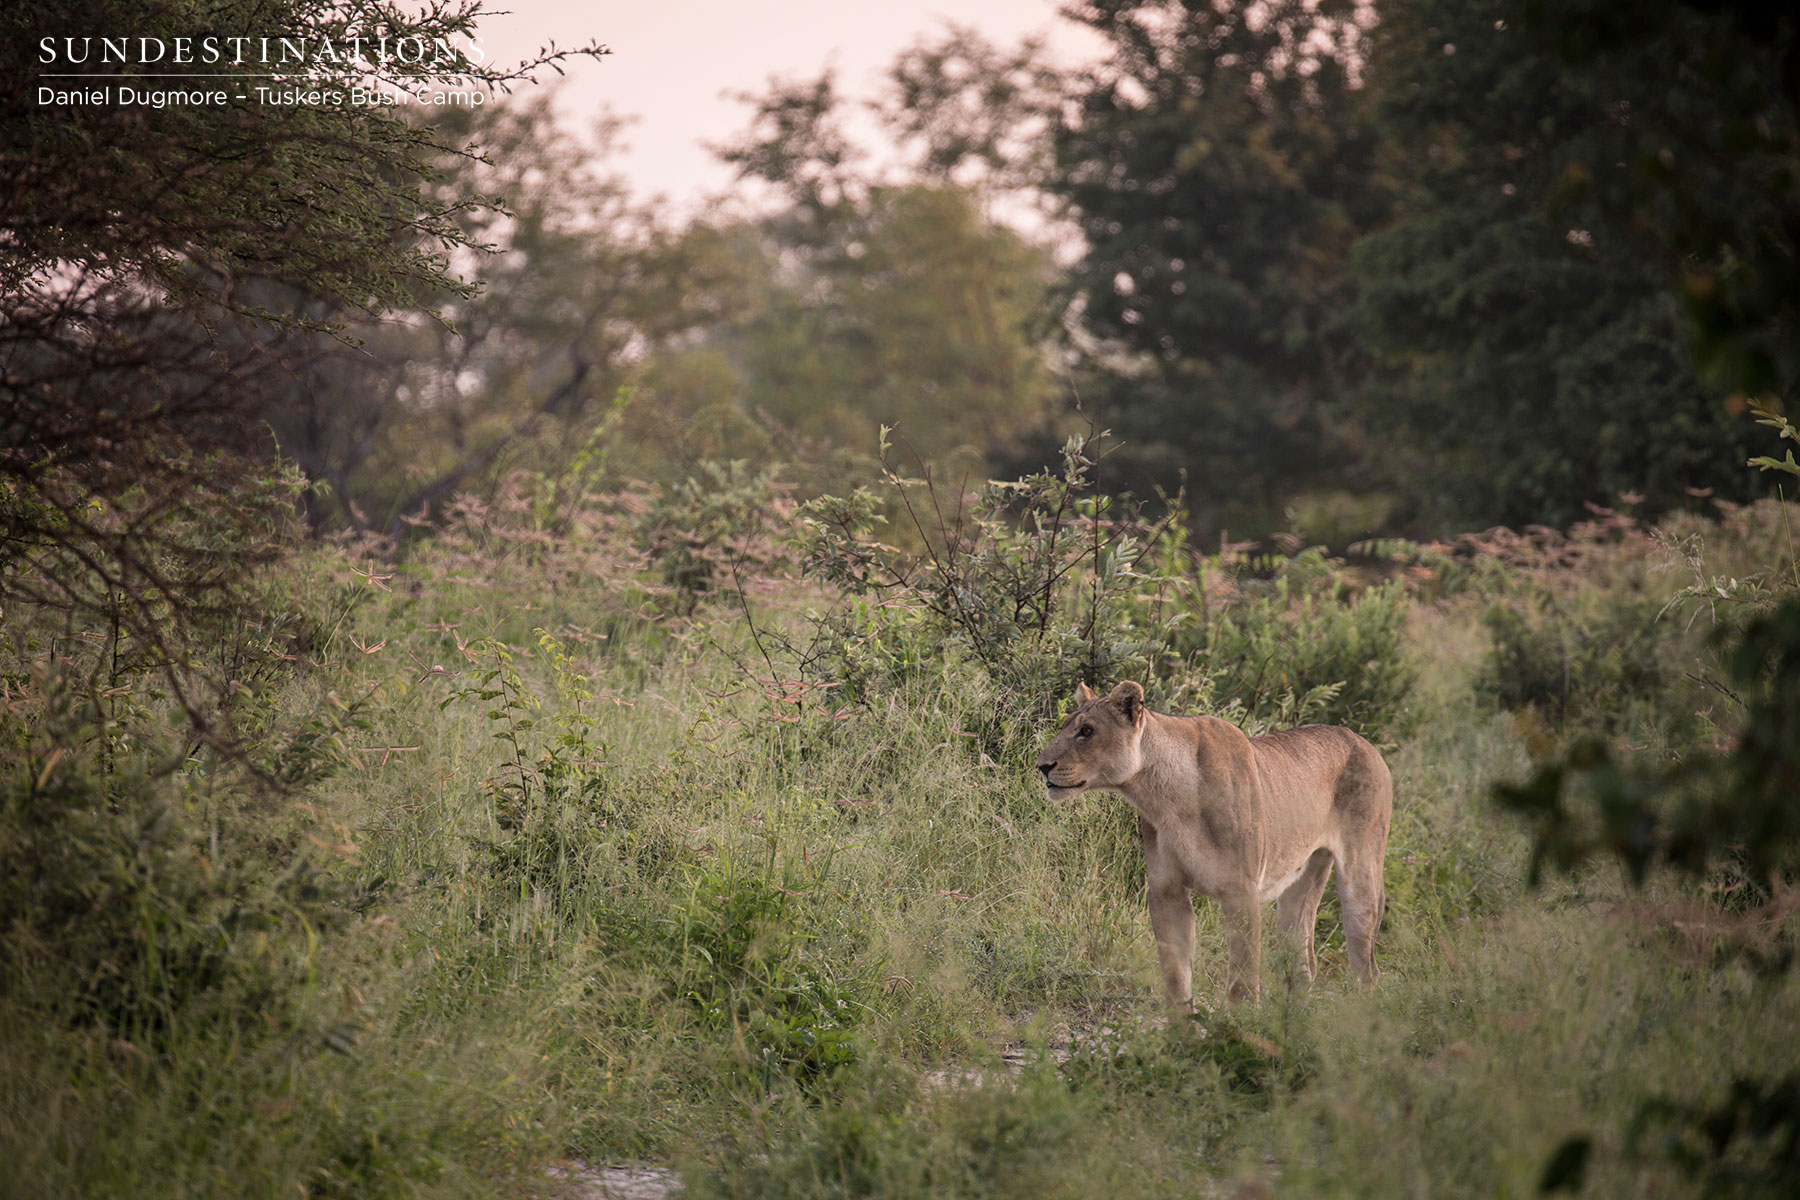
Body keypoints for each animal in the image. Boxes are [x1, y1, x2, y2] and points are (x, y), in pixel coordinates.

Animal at [1036, 681, 1392, 1006]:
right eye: (1065, 725)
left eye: (1087, 731)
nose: (1042, 766)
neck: (1164, 798)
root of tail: (1363, 741)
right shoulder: (1166, 890)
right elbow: (1176, 977)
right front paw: (1182, 1030)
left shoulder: (1241, 890)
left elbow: (1243, 981)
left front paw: (1239, 1028)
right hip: (1301, 880)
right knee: (1303, 963)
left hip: (1361, 873)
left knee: (1367, 967)